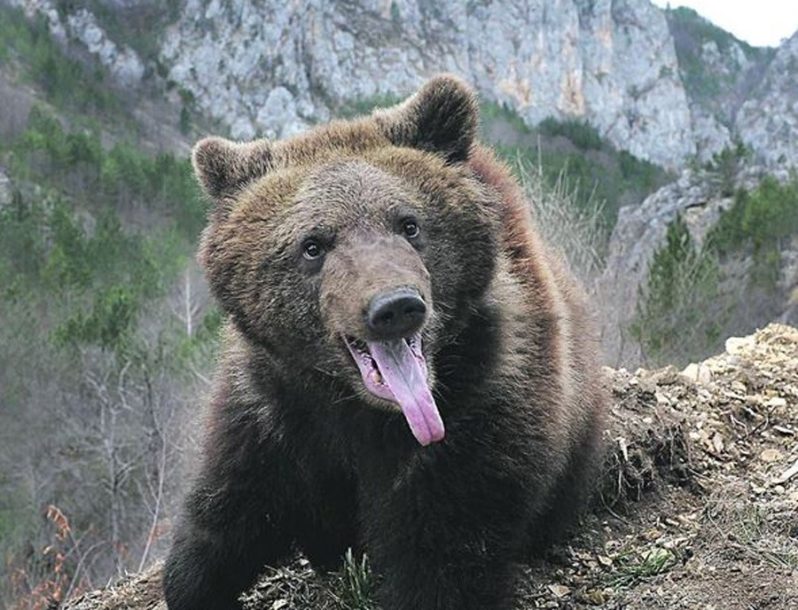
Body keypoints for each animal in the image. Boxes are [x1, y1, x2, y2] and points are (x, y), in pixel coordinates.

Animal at [166, 76, 608, 608]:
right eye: (313, 244)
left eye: (409, 223)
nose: (395, 306)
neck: (363, 410)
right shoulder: (270, 409)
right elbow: (227, 514)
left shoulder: (482, 403)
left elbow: (443, 554)